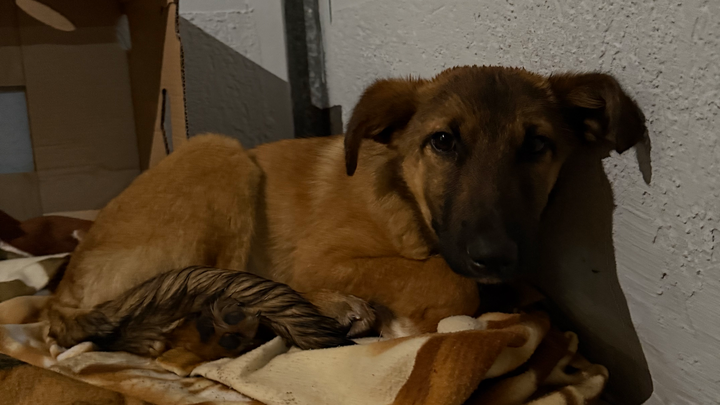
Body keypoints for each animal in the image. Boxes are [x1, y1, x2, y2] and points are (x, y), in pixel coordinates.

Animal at [46, 65, 646, 339]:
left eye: (537, 146)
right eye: (443, 141)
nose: (495, 256)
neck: (408, 205)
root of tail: (62, 294)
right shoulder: (322, 259)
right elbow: (449, 283)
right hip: (219, 153)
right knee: (201, 291)